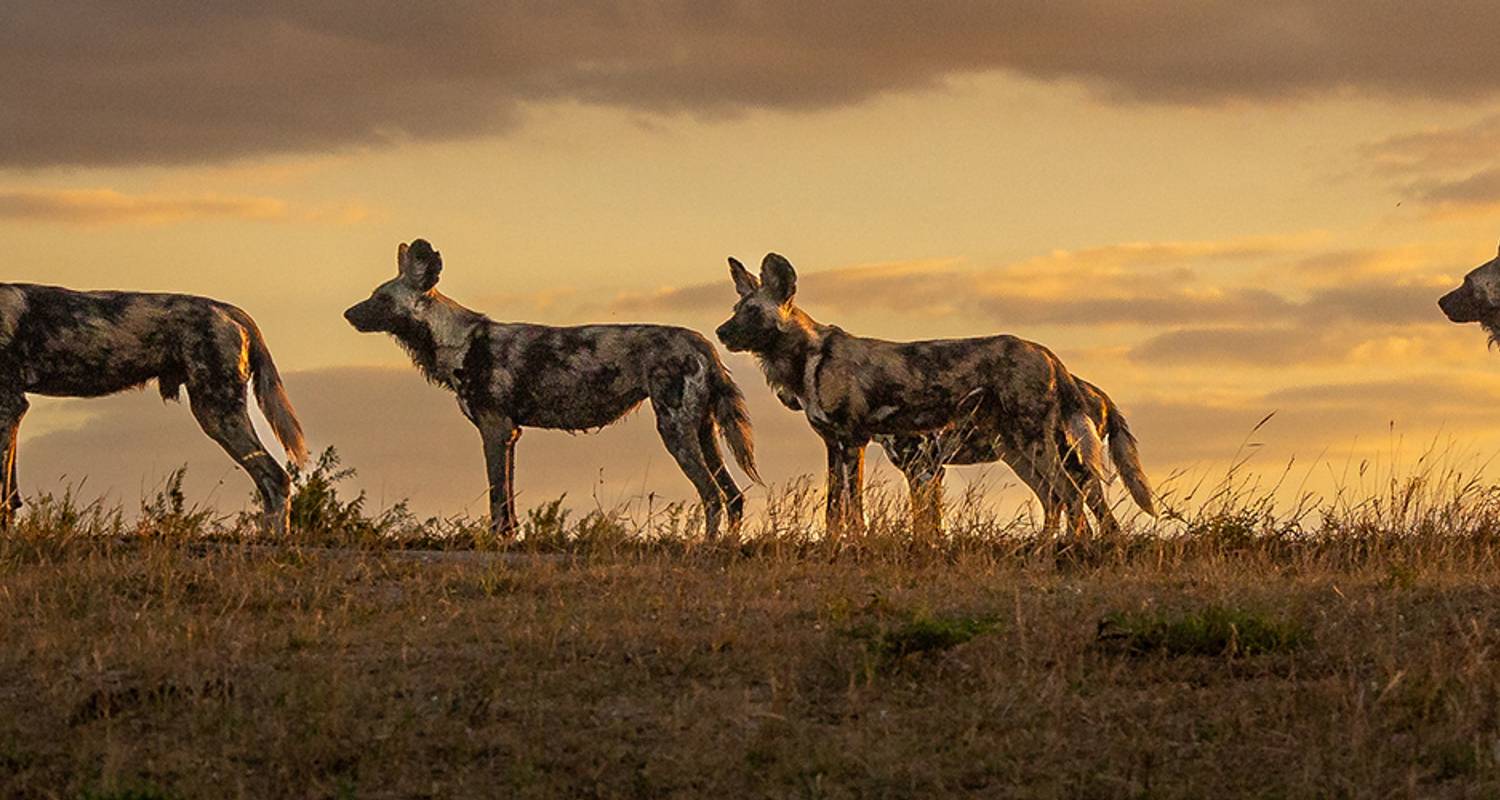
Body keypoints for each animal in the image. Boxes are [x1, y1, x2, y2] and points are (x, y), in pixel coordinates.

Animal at [0, 283, 307, 534]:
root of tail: (224, 308)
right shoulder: (12, 411)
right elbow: (10, 494)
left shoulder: (10, 406)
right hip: (219, 414)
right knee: (270, 482)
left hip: (218, 414)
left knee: (276, 478)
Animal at [348, 237, 762, 537]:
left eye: (381, 298)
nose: (348, 313)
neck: (459, 340)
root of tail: (702, 343)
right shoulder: (511, 433)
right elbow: (507, 500)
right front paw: (508, 538)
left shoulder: (494, 429)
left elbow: (497, 495)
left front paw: (495, 540)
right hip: (703, 433)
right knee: (733, 497)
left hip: (675, 431)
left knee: (712, 496)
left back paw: (702, 549)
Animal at [714, 249, 1128, 537]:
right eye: (735, 308)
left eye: (752, 312)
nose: (720, 332)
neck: (807, 359)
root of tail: (1047, 353)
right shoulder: (837, 445)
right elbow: (836, 509)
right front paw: (835, 546)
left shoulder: (858, 443)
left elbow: (856, 510)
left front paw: (857, 546)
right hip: (1019, 449)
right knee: (1058, 499)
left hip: (1039, 446)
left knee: (1071, 497)